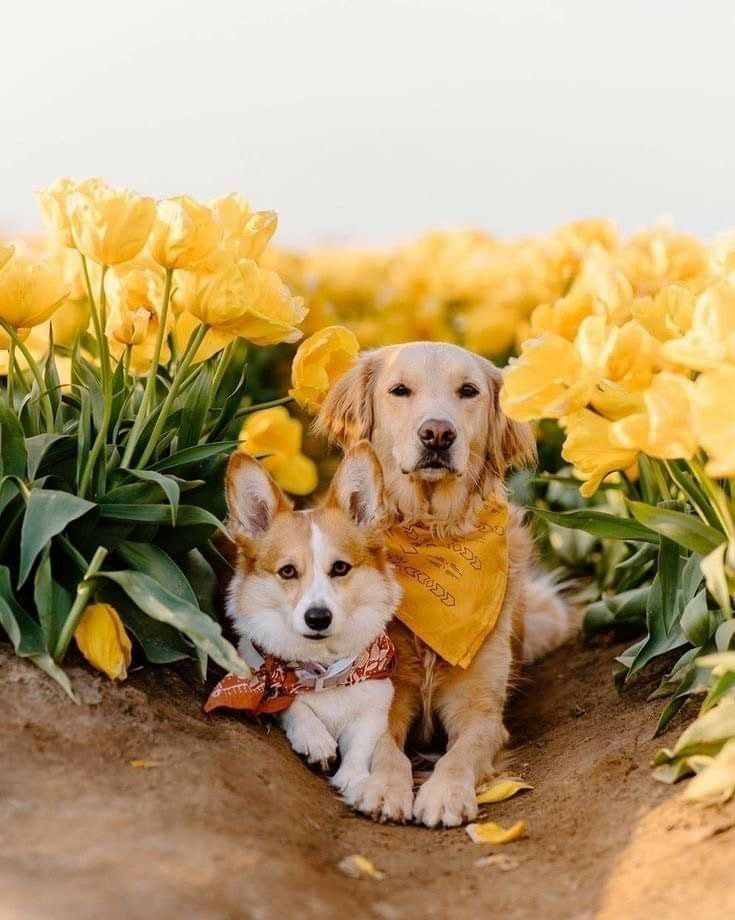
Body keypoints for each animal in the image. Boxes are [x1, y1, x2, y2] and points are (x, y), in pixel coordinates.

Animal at [218, 442, 402, 808]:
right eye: (288, 571)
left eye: (340, 568)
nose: (318, 617)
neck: (324, 671)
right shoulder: (267, 677)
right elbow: (295, 704)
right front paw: (315, 739)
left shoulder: (374, 708)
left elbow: (360, 746)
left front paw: (355, 778)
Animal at [316, 342, 576, 832]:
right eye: (400, 390)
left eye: (468, 391)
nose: (437, 434)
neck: (432, 530)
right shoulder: (387, 693)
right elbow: (385, 748)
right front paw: (385, 789)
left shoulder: (481, 710)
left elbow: (462, 753)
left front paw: (445, 794)